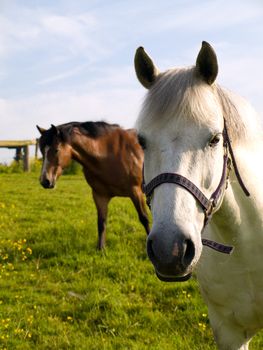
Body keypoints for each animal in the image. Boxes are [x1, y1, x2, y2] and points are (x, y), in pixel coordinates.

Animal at [36, 120, 151, 249]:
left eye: (56, 150)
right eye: (42, 151)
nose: (45, 181)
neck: (108, 155)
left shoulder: (135, 191)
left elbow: (144, 218)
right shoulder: (99, 195)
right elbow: (101, 222)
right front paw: (100, 249)